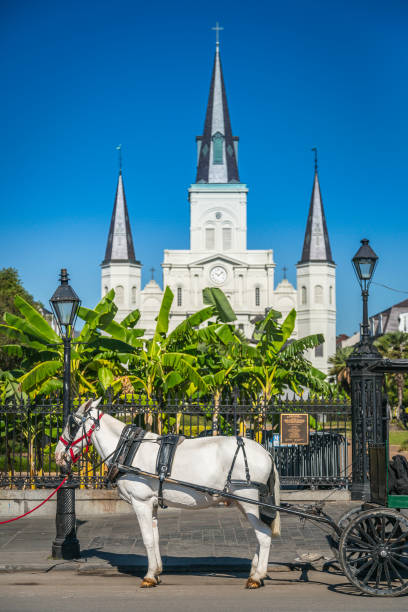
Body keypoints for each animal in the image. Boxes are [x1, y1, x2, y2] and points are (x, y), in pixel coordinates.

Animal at [55, 400, 280, 592]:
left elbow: (147, 539)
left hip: (249, 501)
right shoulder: (152, 503)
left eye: (72, 424)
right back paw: (255, 570)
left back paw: (256, 577)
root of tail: (266, 452)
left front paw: (148, 577)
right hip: (243, 503)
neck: (128, 448)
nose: (58, 456)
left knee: (264, 535)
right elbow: (155, 537)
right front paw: (156, 572)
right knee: (261, 533)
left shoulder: (141, 502)